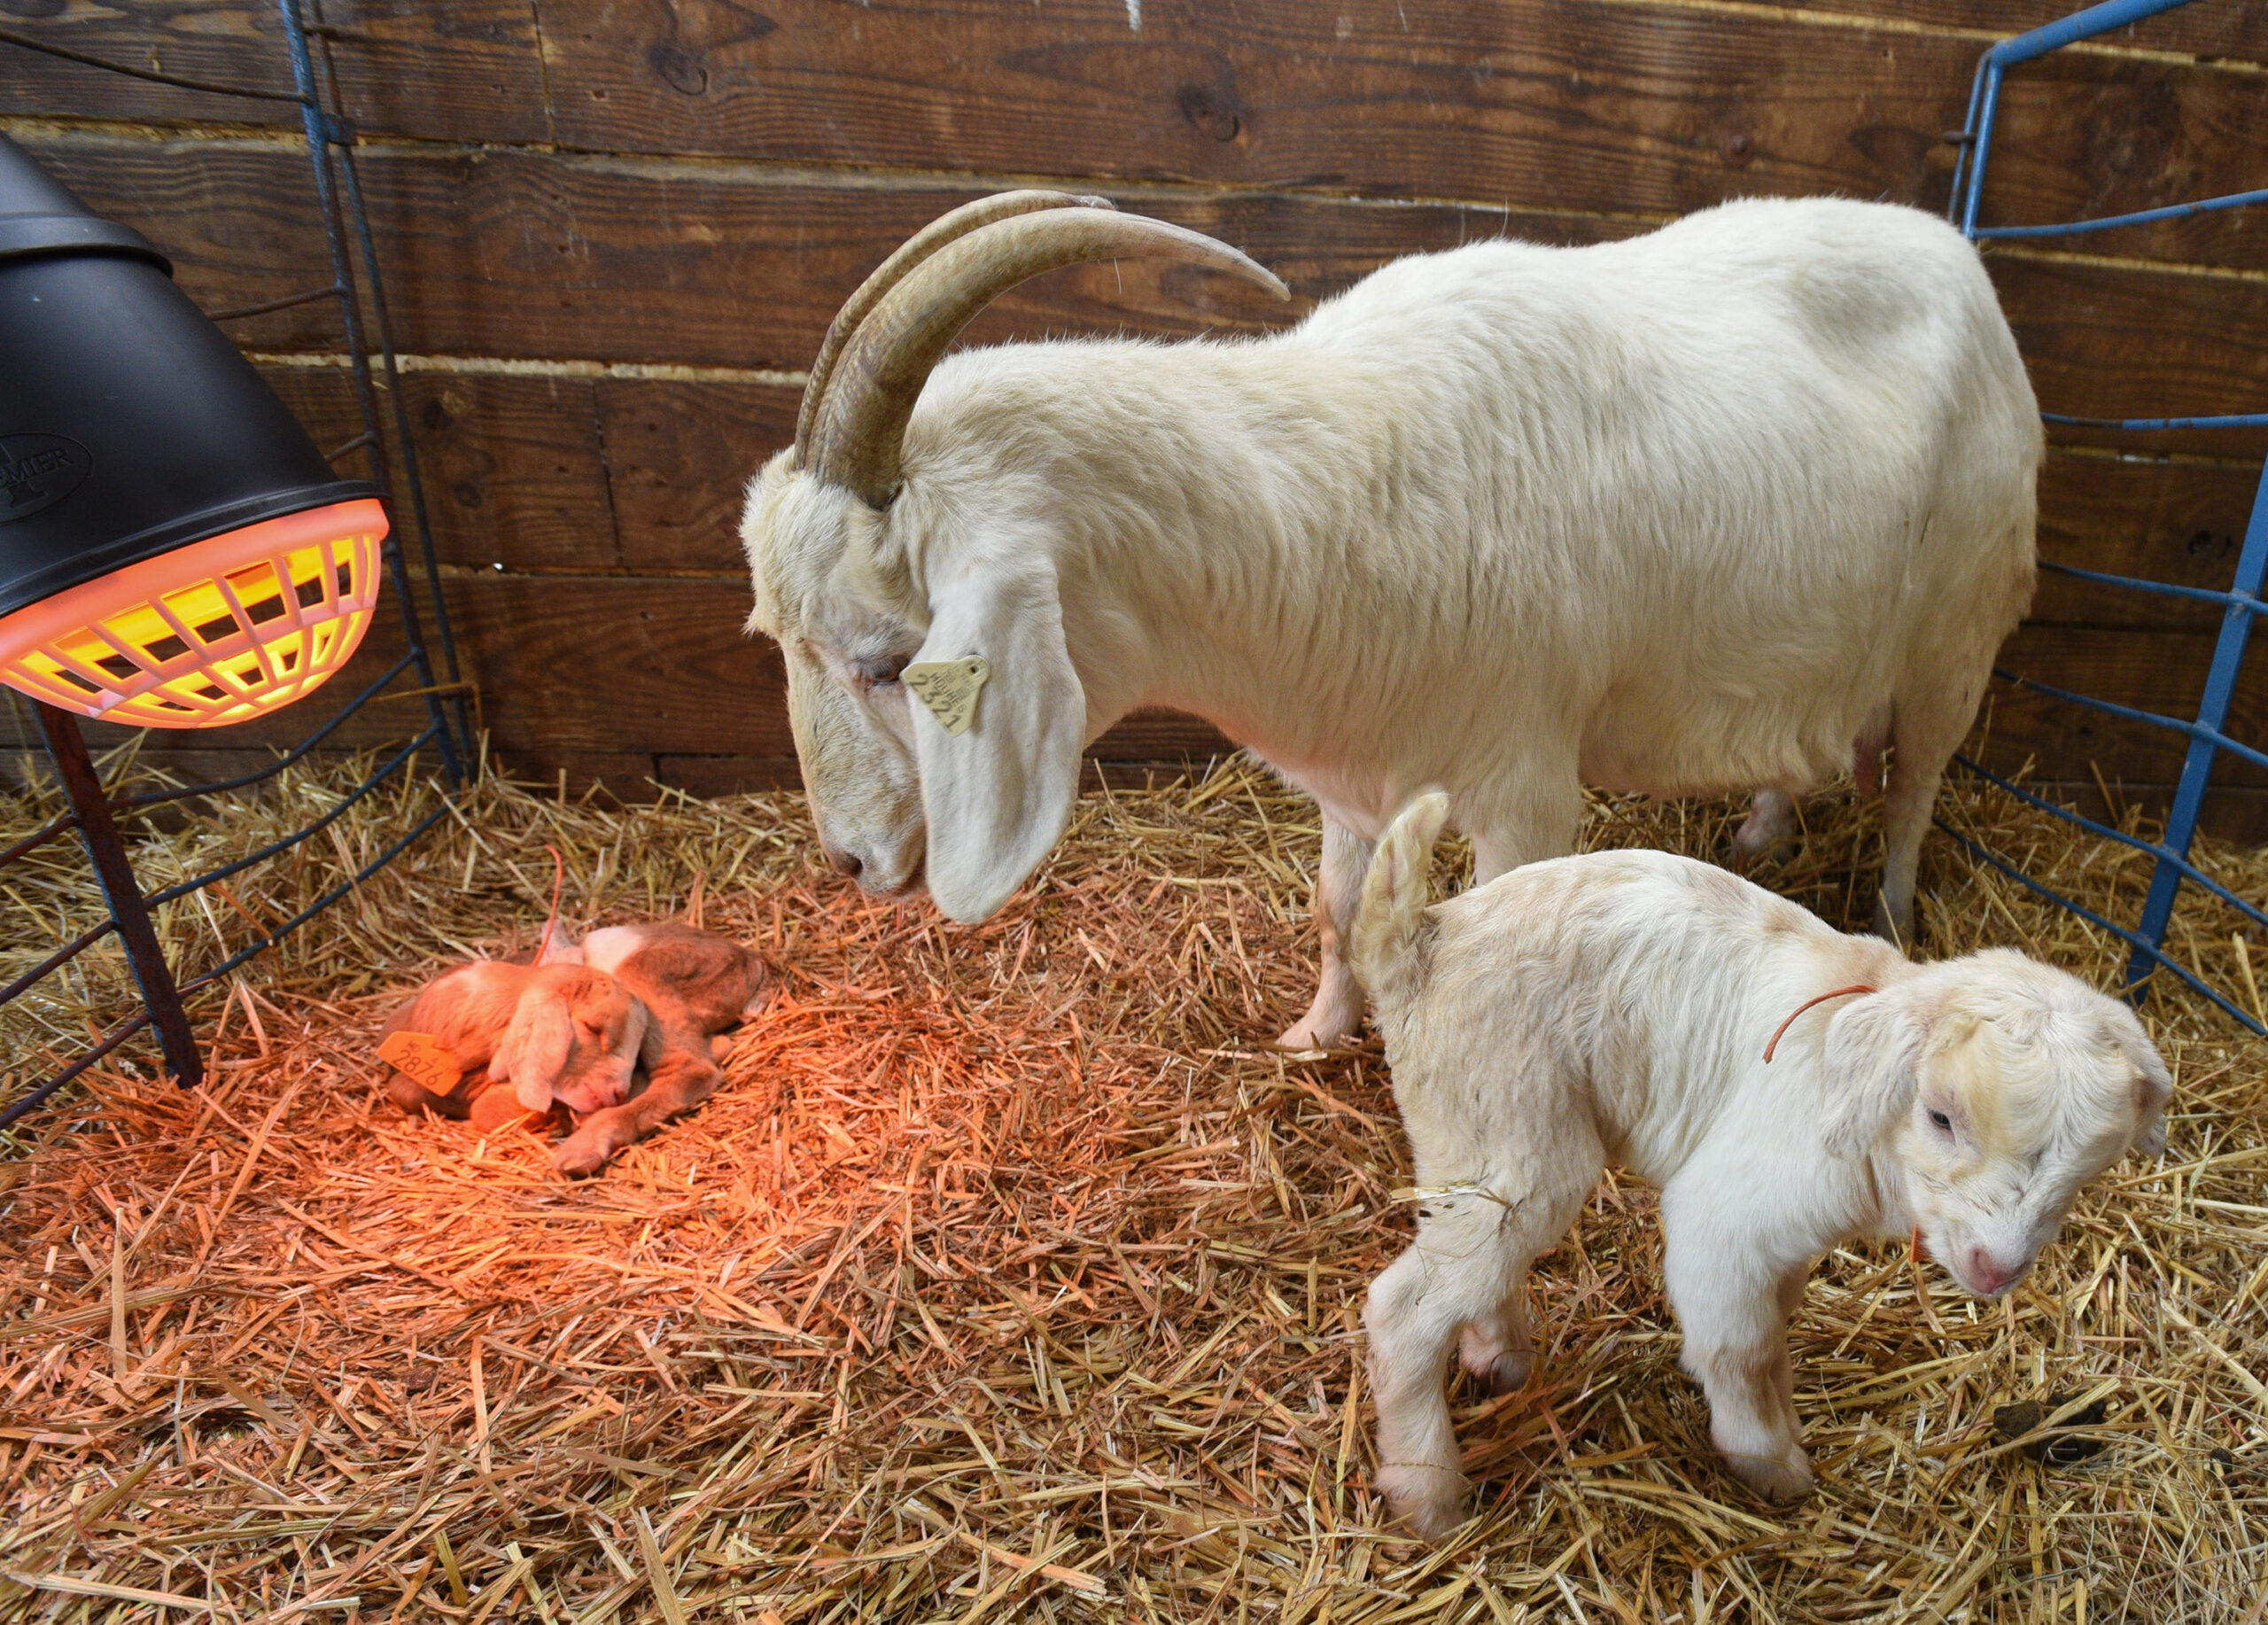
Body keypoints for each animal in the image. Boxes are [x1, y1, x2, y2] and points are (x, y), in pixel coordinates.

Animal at [740, 190, 2041, 1049]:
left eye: (888, 661)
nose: (849, 861)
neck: (1346, 494)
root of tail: (1964, 260)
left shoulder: (1528, 787)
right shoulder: (1351, 761)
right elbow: (1336, 907)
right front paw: (1317, 1033)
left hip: (1958, 632)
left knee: (1917, 789)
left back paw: (1893, 914)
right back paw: (1761, 829)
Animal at [1345, 791, 2169, 1536]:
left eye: (2089, 1170)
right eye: (1940, 1116)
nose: (1996, 1268)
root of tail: (1420, 941)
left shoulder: (1787, 1243)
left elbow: (1774, 1324)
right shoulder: (1725, 1218)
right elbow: (1739, 1348)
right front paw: (1770, 1461)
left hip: (1473, 1146)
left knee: (1476, 1266)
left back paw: (1500, 1358)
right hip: (1514, 1137)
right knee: (1404, 1308)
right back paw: (1427, 1493)